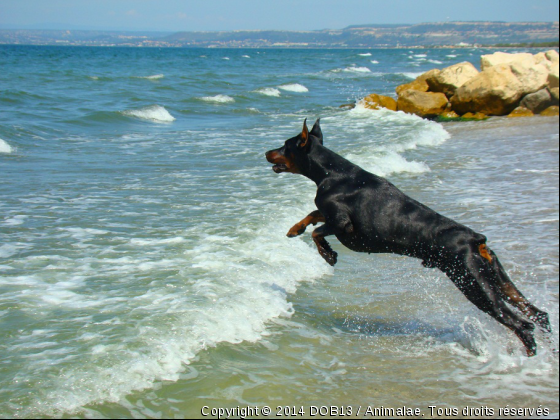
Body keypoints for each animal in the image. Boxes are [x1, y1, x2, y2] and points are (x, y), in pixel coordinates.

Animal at [266, 119, 552, 358]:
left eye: (284, 146)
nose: (266, 152)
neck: (331, 172)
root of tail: (476, 239)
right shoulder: (330, 215)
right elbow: (313, 214)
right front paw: (294, 228)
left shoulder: (342, 224)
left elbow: (319, 230)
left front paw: (328, 253)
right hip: (496, 277)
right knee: (538, 314)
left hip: (473, 282)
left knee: (521, 323)